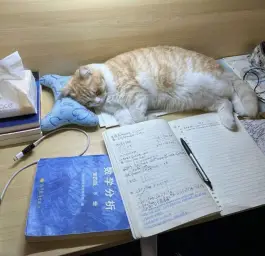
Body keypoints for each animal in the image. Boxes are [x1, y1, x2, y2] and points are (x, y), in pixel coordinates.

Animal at [61, 45, 256, 130]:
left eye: (97, 91)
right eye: (88, 102)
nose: (99, 101)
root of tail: (220, 67)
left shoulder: (136, 95)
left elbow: (138, 116)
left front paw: (150, 118)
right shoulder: (119, 110)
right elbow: (127, 122)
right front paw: (137, 122)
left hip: (214, 83)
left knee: (233, 91)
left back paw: (240, 110)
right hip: (207, 100)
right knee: (226, 102)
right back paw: (230, 121)